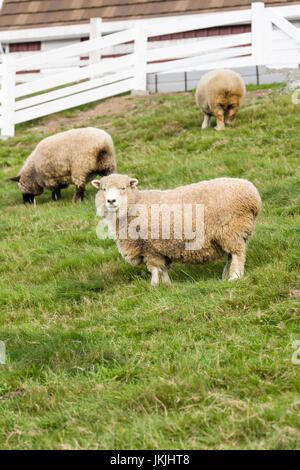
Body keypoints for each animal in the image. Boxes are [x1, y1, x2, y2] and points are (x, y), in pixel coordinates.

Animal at [92, 172, 262, 282]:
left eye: (123, 188)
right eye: (103, 189)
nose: (111, 201)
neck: (135, 204)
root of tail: (253, 194)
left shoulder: (149, 247)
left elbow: (155, 269)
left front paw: (154, 287)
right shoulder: (159, 249)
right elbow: (163, 269)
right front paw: (167, 286)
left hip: (230, 229)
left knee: (238, 254)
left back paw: (234, 278)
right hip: (235, 232)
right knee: (231, 256)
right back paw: (226, 276)